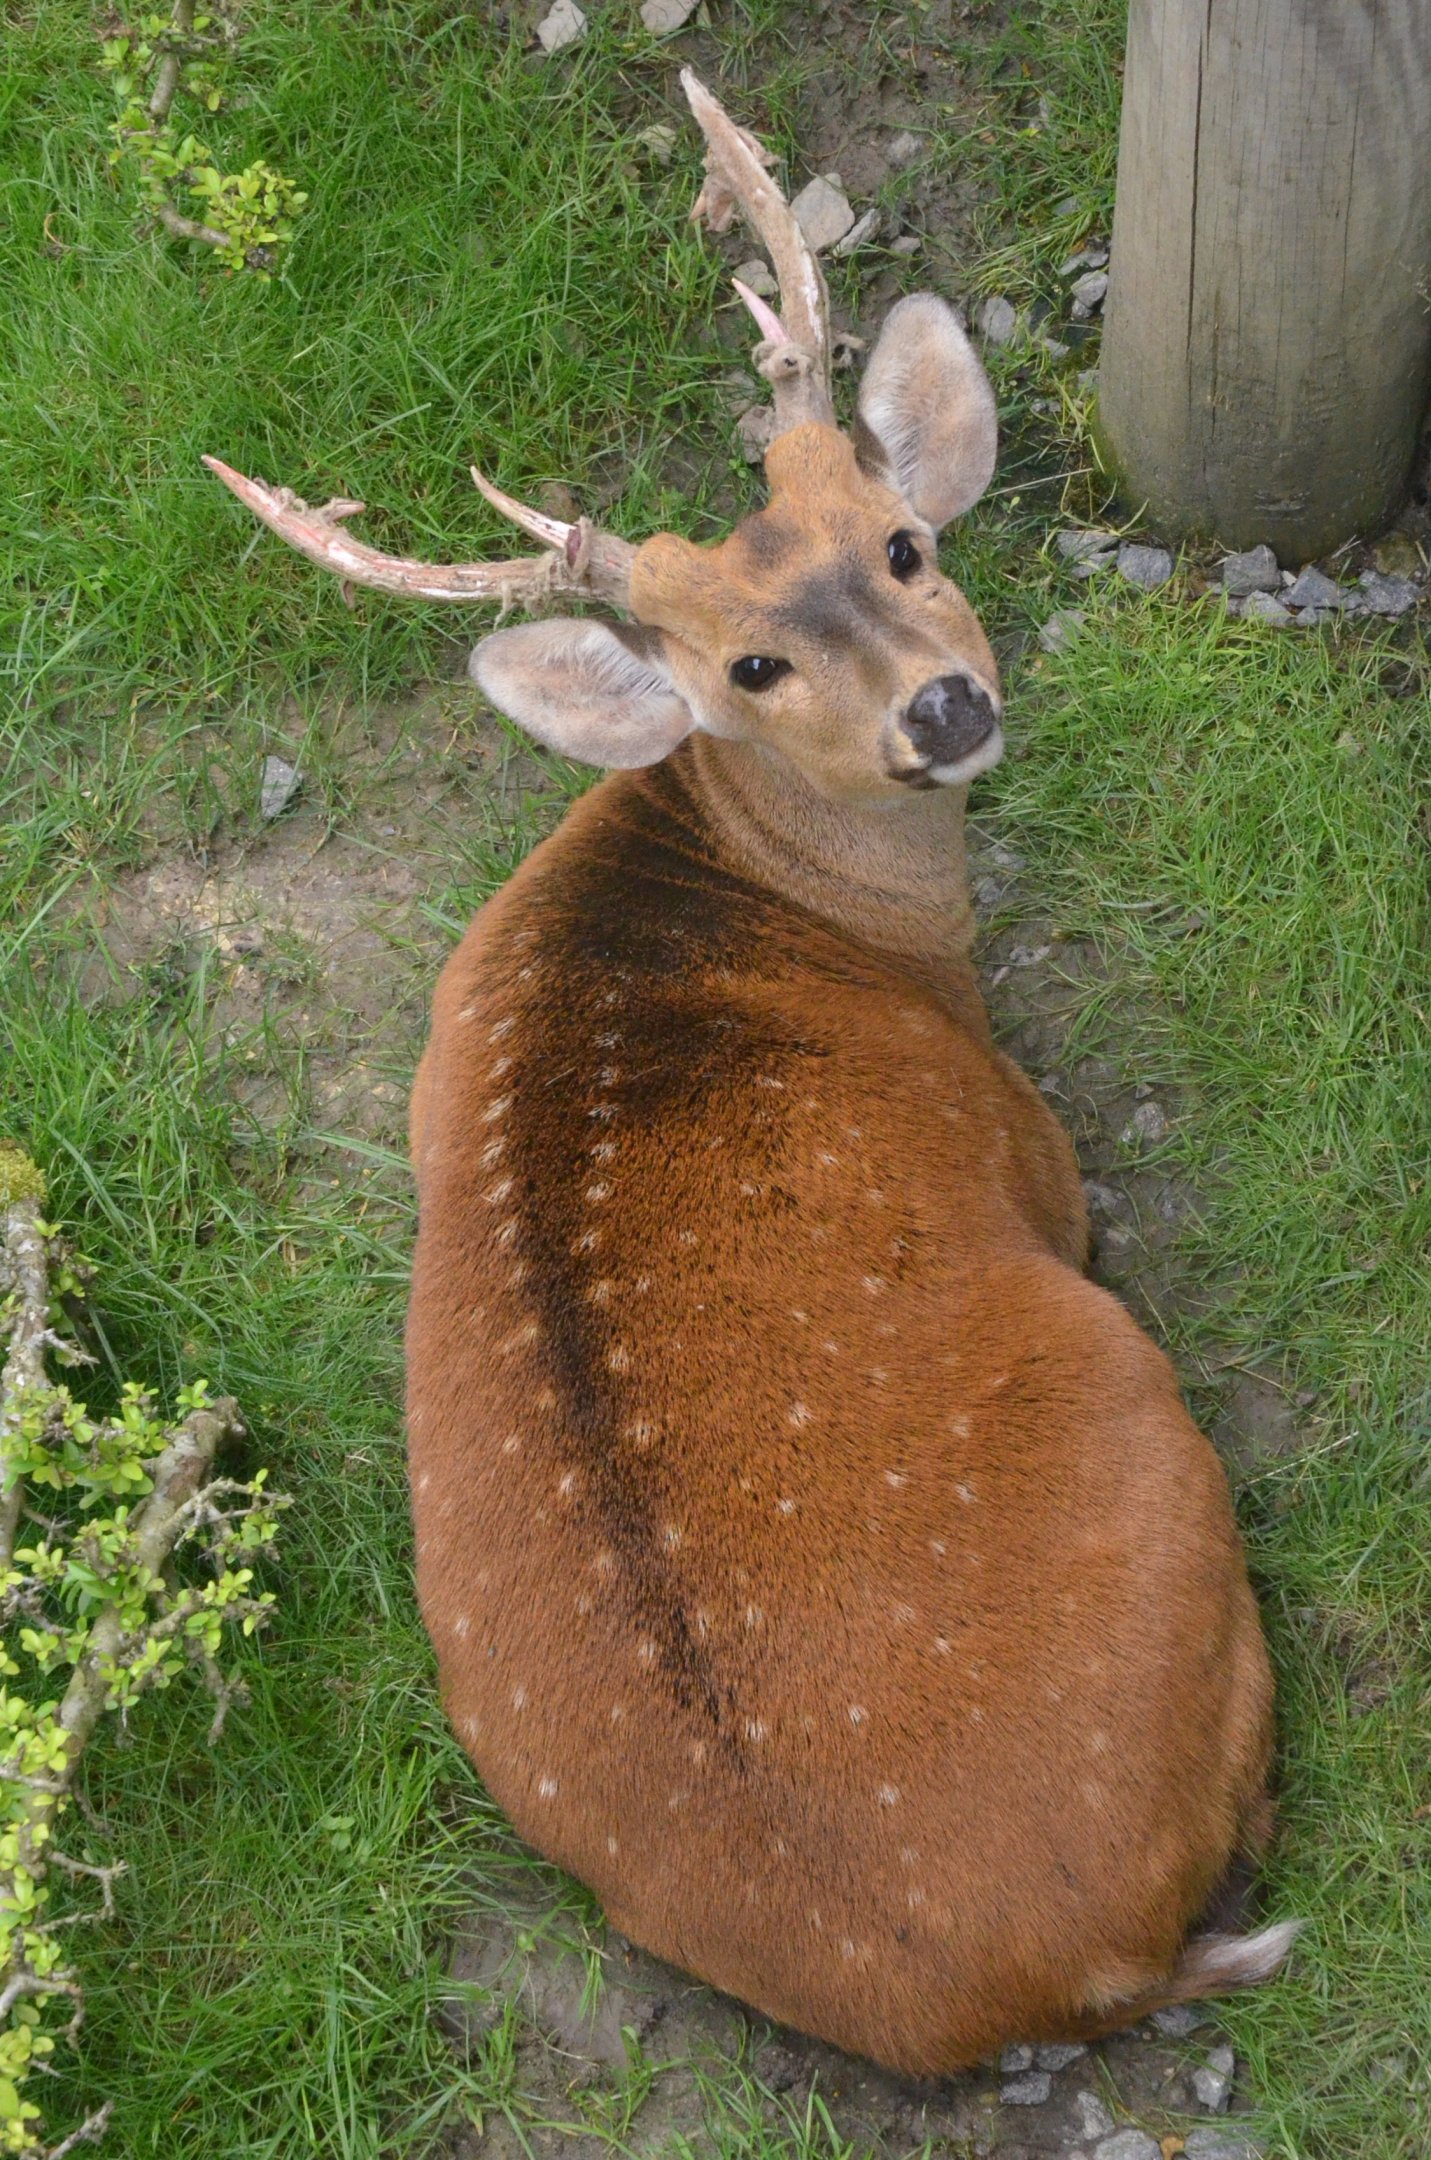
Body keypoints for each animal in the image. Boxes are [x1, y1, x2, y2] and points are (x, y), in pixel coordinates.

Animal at [204, 72, 1295, 2077]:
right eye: (754, 667)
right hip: (1134, 1407)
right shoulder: (1033, 1147)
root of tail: (1053, 1974)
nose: (941, 706)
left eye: (903, 546)